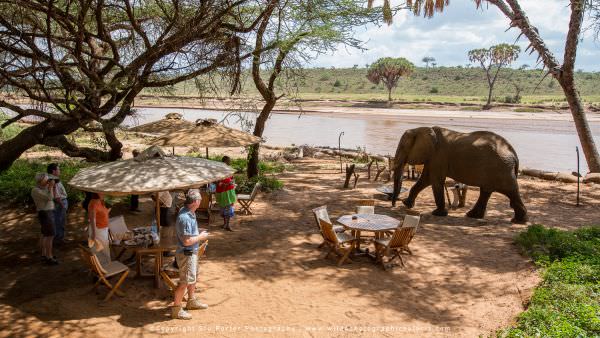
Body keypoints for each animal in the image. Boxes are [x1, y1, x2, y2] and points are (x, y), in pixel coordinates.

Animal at [392, 125, 528, 223]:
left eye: (402, 147)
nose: (393, 205)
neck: (422, 129)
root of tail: (513, 152)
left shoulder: (439, 155)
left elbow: (435, 180)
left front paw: (438, 213)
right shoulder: (432, 157)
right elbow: (425, 179)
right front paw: (406, 204)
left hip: (502, 169)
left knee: (510, 191)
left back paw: (518, 221)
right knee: (486, 191)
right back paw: (473, 216)